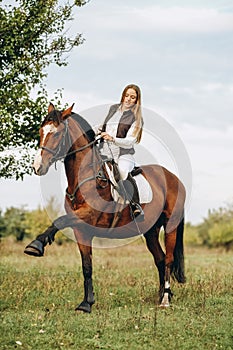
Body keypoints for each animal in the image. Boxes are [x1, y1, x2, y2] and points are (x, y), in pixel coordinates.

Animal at [24, 102, 187, 314]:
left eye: (57, 133)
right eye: (41, 131)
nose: (38, 167)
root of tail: (174, 178)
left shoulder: (86, 215)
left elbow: (59, 221)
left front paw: (36, 245)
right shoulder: (81, 229)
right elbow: (87, 266)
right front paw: (86, 304)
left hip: (170, 226)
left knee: (167, 260)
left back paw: (166, 300)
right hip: (151, 230)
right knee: (159, 259)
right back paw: (161, 296)